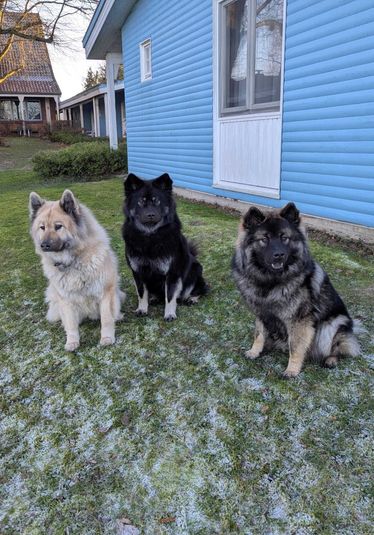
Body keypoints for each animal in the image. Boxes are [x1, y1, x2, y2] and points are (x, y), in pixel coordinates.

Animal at [29, 189, 125, 352]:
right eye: (42, 227)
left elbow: (106, 319)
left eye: (58, 226)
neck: (73, 261)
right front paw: (72, 342)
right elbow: (71, 324)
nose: (44, 245)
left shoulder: (105, 293)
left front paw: (107, 338)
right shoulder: (65, 299)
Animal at [122, 174, 207, 320]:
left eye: (157, 201)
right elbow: (141, 294)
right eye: (141, 202)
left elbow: (170, 296)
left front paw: (169, 314)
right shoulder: (137, 271)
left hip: (195, 271)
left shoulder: (172, 273)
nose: (150, 214)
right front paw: (142, 309)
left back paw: (192, 298)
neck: (150, 238)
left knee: (200, 290)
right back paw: (154, 298)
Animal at [232, 203, 360, 378]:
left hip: (333, 324)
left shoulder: (299, 321)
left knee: (338, 347)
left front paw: (291, 370)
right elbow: (258, 335)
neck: (270, 282)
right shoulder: (261, 314)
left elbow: (295, 346)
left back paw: (331, 360)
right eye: (264, 239)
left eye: (284, 238)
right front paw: (254, 351)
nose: (279, 255)